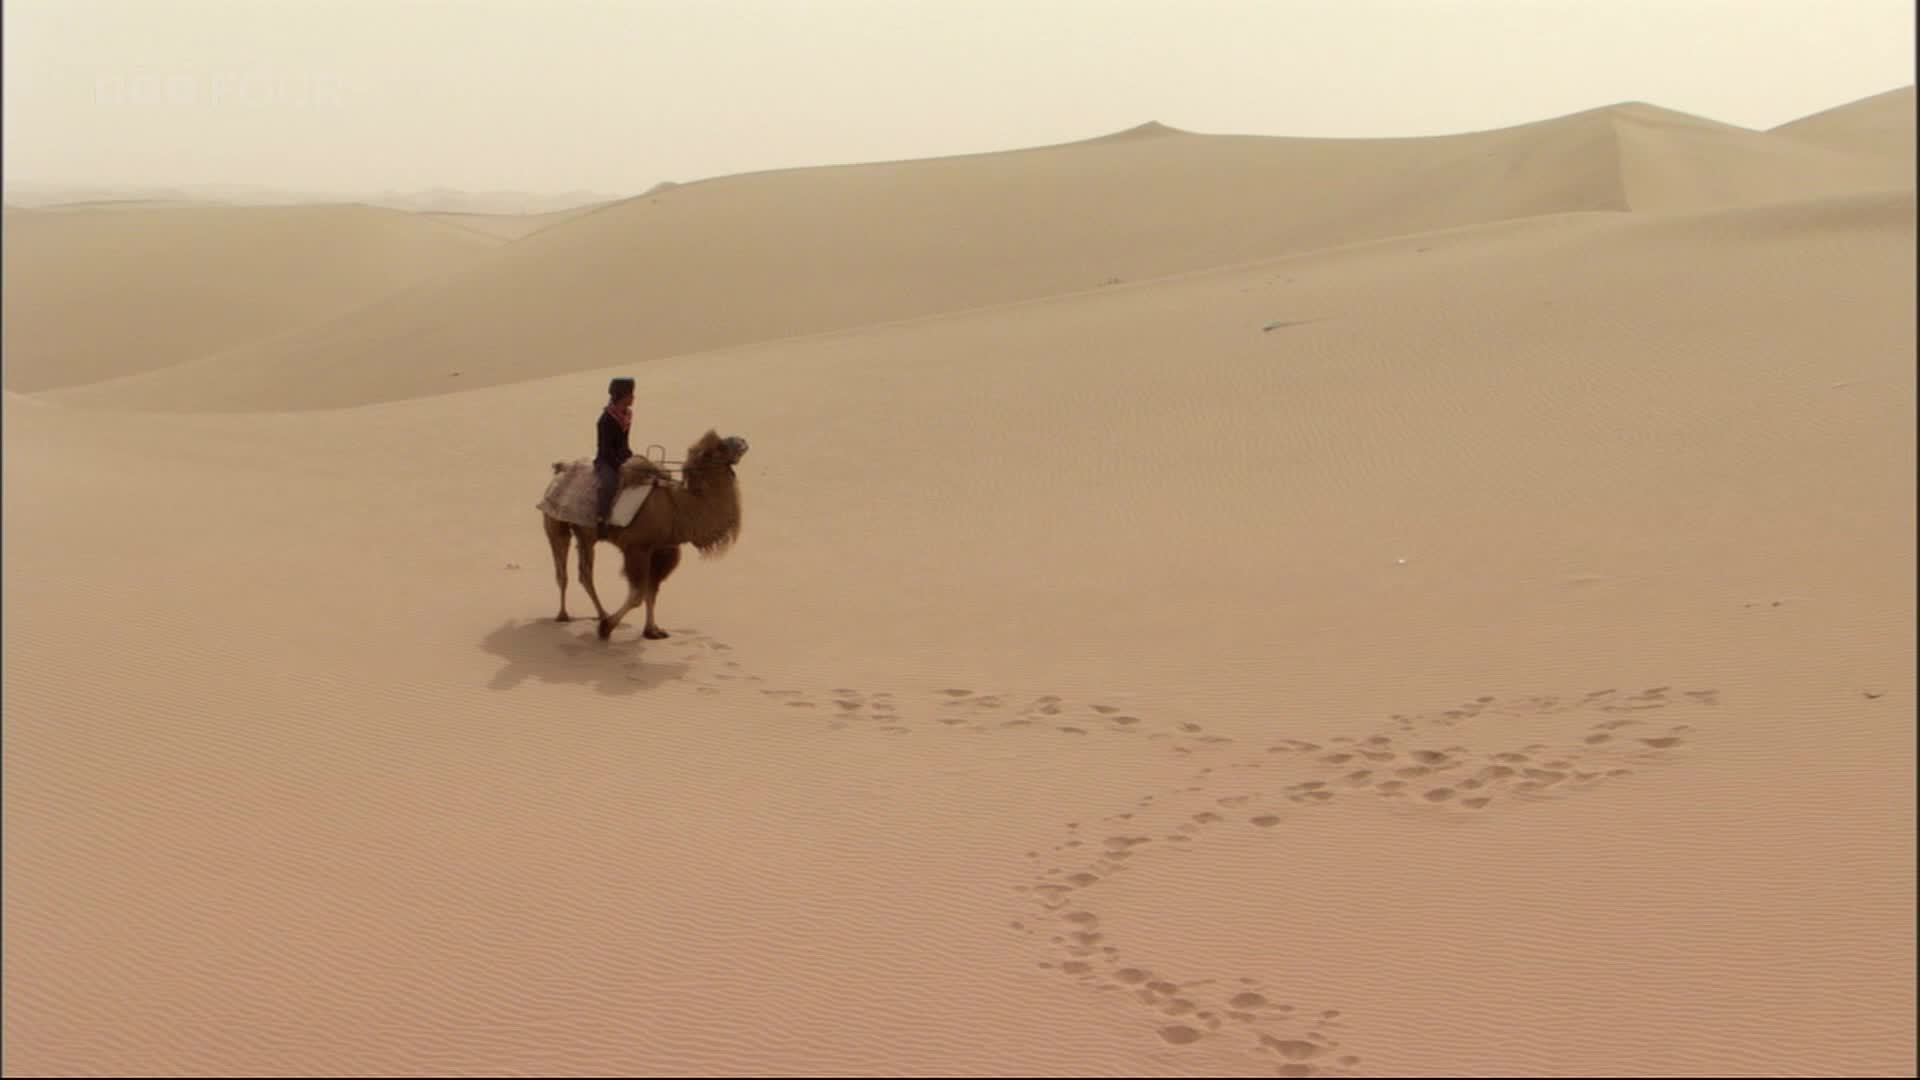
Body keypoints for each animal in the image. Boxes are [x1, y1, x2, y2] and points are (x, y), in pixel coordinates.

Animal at [536, 430, 747, 641]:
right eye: (718, 448)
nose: (742, 441)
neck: (678, 508)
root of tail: (559, 469)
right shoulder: (637, 549)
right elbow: (638, 594)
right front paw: (606, 628)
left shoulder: (662, 550)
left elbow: (652, 591)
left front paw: (652, 630)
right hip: (555, 524)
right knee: (562, 571)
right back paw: (564, 615)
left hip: (586, 534)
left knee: (585, 573)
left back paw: (601, 613)